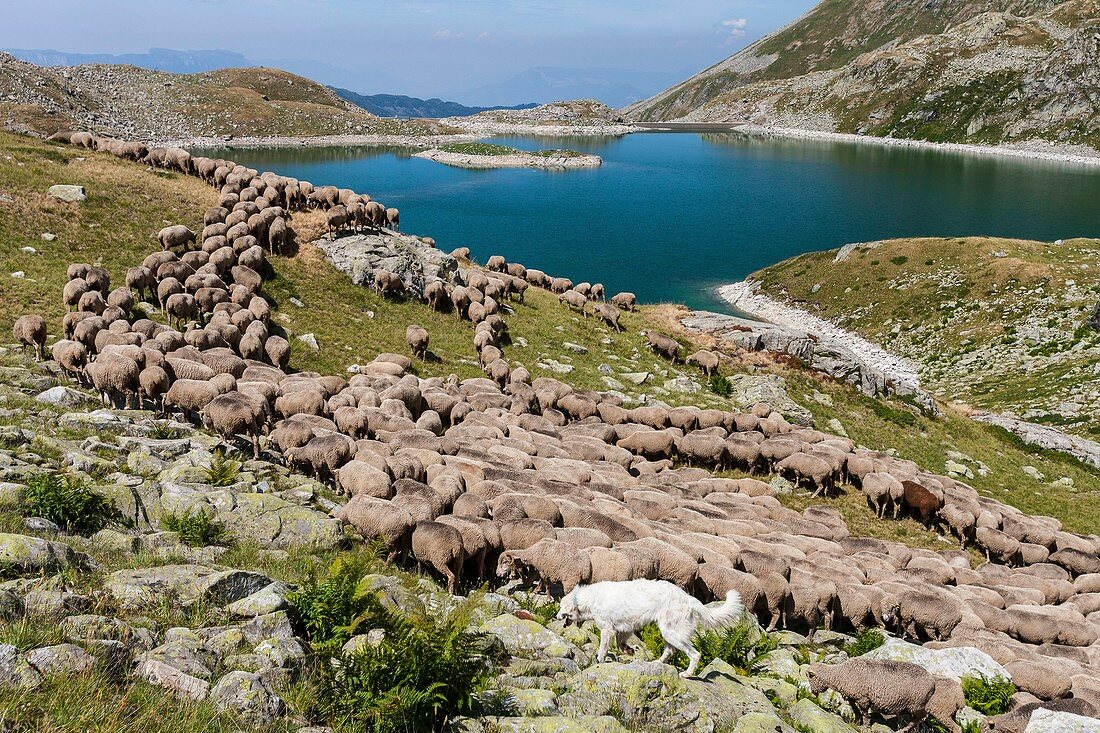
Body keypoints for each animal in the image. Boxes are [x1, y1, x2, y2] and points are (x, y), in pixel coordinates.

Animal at [554, 576, 743, 673]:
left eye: (561, 607)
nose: (556, 616)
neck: (585, 599)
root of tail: (689, 598)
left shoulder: (607, 629)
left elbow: (603, 649)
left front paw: (599, 660)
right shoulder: (624, 628)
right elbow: (620, 643)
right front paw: (629, 650)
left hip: (672, 633)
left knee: (695, 654)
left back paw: (688, 674)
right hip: (668, 632)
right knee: (669, 651)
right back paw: (656, 663)